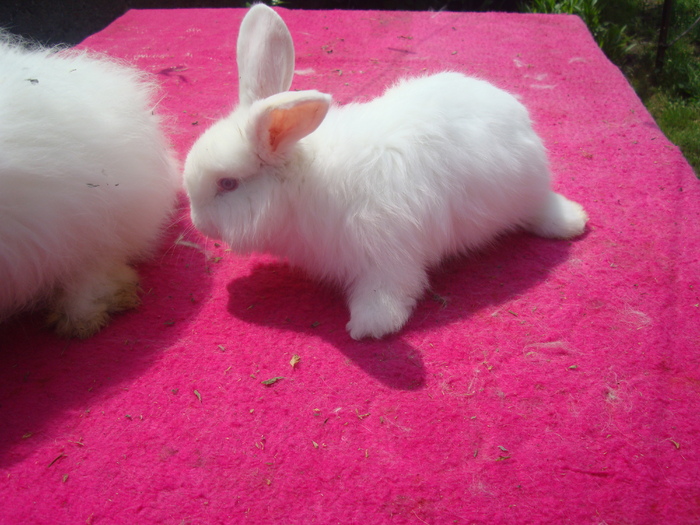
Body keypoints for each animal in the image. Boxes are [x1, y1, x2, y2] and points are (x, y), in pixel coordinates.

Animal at [183, 5, 588, 340]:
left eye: (228, 183)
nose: (198, 223)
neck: (304, 184)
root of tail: (519, 118)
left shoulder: (386, 253)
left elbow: (387, 293)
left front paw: (367, 327)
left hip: (525, 193)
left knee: (544, 208)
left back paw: (574, 222)